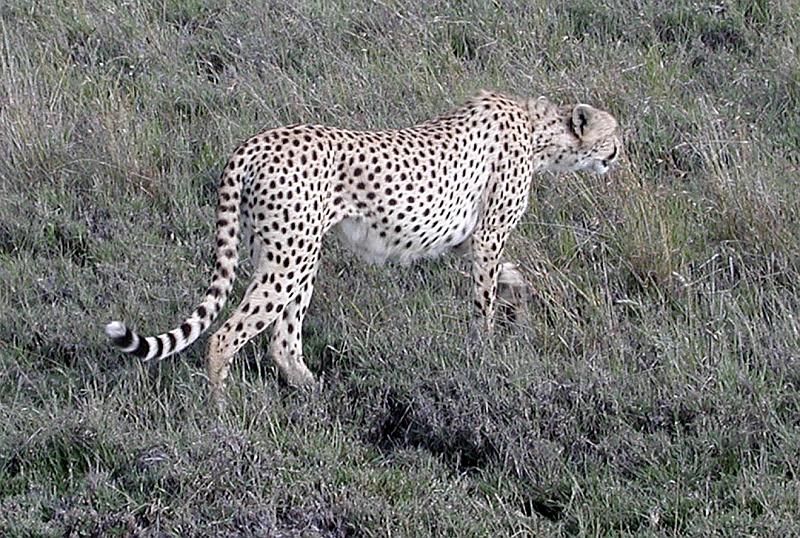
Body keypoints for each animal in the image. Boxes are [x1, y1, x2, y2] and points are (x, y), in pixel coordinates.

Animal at [105, 91, 621, 399]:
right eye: (612, 133)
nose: (619, 151)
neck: (539, 131)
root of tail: (255, 141)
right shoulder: (488, 236)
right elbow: (485, 299)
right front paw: (486, 352)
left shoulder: (462, 238)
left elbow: (512, 276)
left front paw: (521, 304)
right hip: (289, 258)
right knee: (225, 336)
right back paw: (223, 413)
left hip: (285, 253)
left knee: (282, 342)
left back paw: (314, 395)